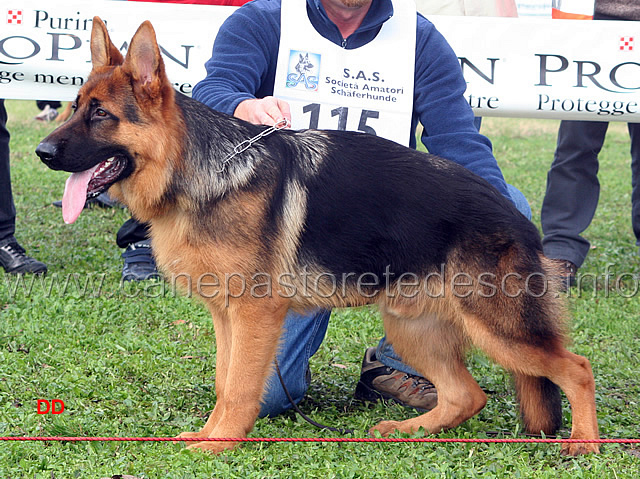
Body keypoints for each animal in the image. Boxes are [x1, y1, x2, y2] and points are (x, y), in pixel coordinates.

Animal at [37, 16, 600, 456]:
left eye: (101, 115)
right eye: (73, 106)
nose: (41, 152)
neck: (198, 172)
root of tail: (517, 219)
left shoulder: (255, 314)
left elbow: (239, 387)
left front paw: (219, 444)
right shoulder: (226, 315)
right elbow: (225, 379)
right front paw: (211, 434)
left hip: (498, 328)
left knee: (576, 367)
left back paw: (586, 443)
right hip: (411, 326)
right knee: (467, 394)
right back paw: (409, 429)